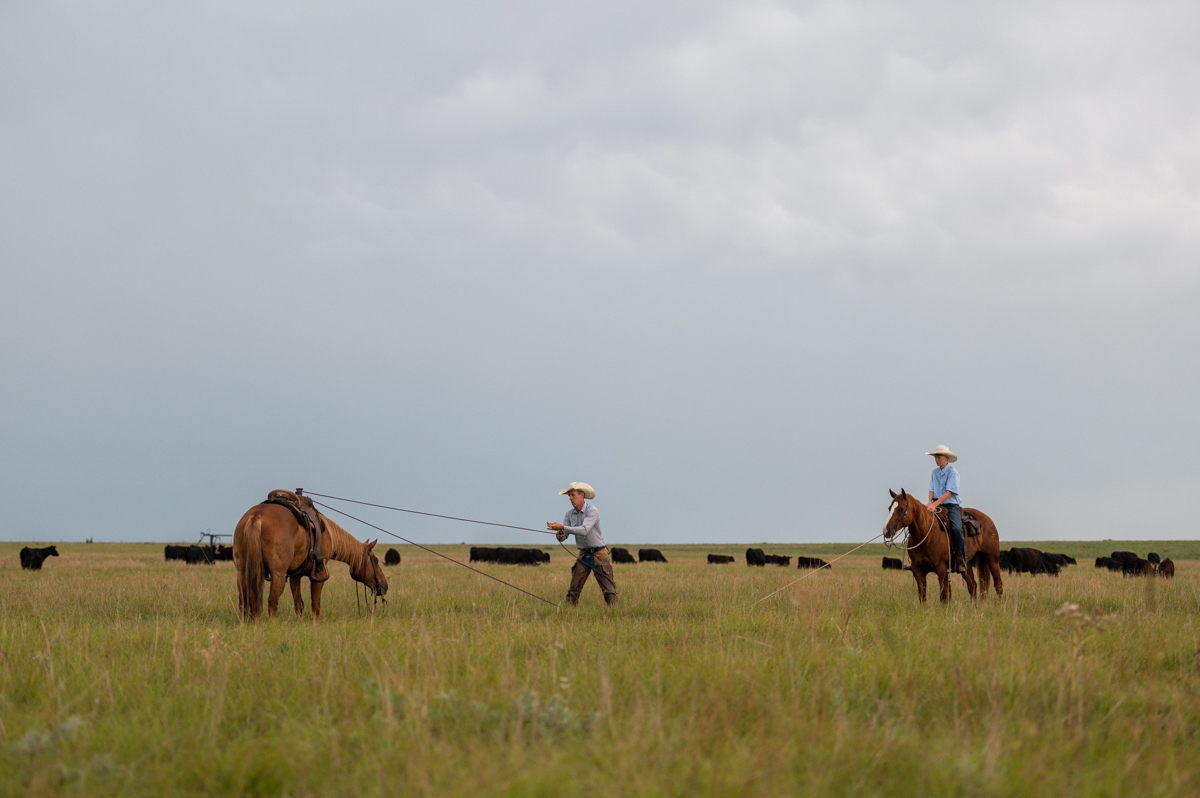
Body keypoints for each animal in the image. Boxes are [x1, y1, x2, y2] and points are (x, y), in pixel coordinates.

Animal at [231, 501, 386, 619]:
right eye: (376, 561)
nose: (384, 585)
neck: (328, 533)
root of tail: (257, 516)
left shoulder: (295, 576)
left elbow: (298, 604)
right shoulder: (319, 576)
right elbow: (315, 605)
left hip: (242, 572)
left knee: (243, 600)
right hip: (278, 575)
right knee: (272, 601)